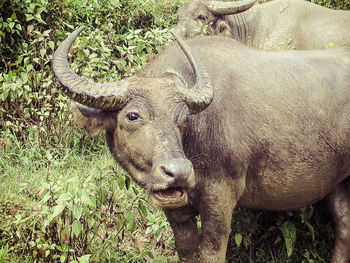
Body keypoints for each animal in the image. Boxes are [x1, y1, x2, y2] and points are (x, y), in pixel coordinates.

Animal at [51, 27, 350, 263]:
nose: (179, 173)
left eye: (183, 118)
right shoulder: (177, 208)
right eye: (132, 115)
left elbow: (211, 252)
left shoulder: (221, 196)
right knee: (345, 224)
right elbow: (186, 250)